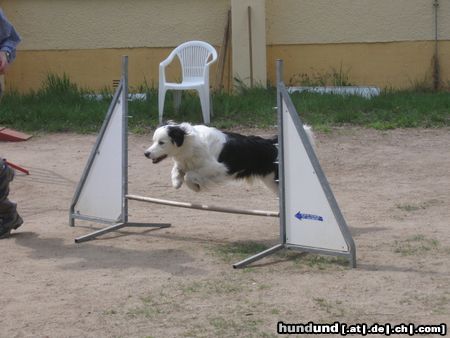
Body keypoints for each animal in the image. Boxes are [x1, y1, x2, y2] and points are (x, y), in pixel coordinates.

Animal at [144, 123, 312, 194]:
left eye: (161, 142)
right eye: (153, 141)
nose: (146, 153)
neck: (189, 142)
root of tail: (270, 142)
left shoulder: (219, 168)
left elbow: (190, 175)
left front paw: (195, 187)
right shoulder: (184, 161)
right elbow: (177, 169)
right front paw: (176, 182)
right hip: (271, 182)